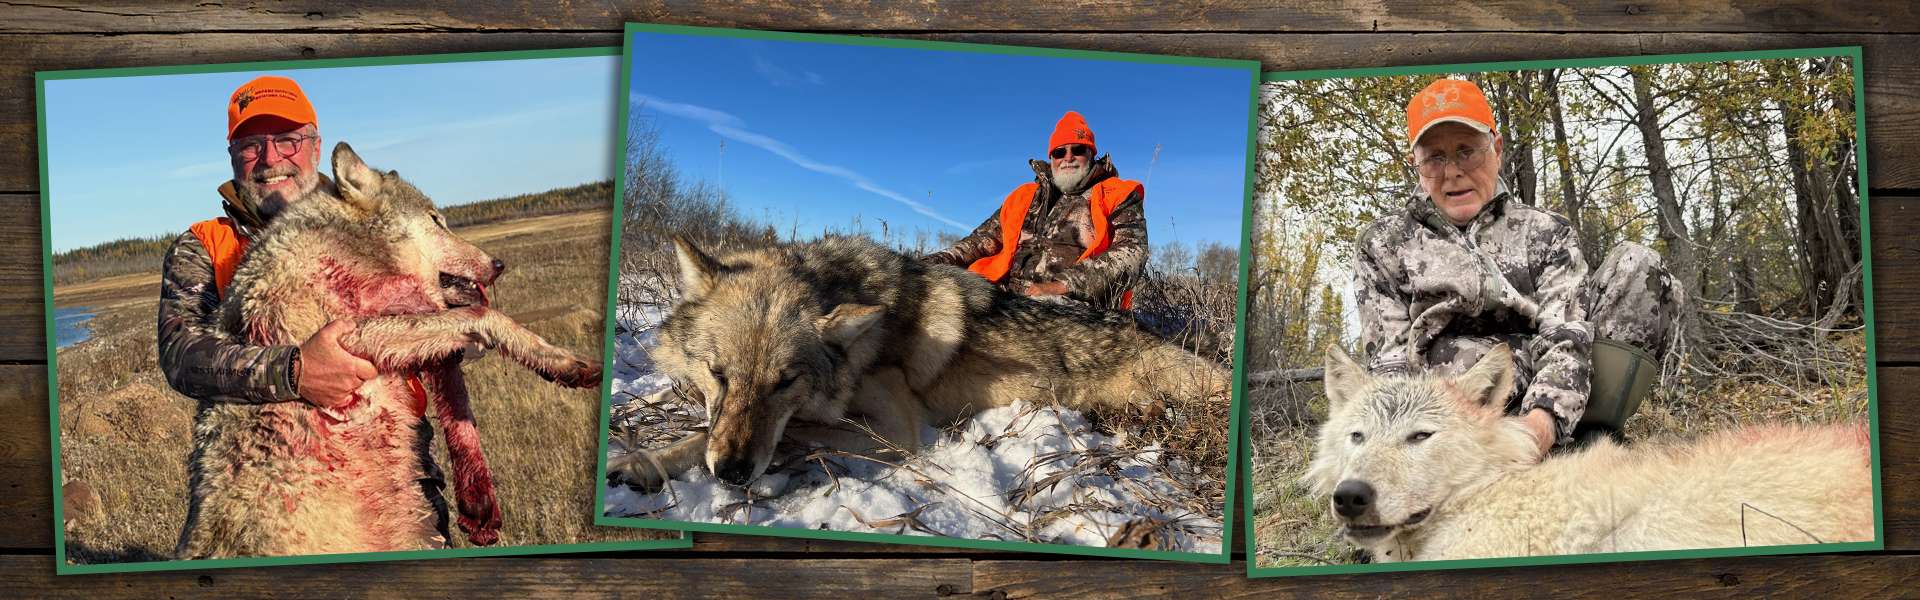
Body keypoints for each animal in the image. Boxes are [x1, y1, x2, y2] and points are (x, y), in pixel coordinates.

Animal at [176, 143, 602, 559]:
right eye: (435, 220)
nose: (498, 264)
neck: (351, 255)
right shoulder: (349, 339)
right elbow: (486, 314)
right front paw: (571, 363)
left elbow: (459, 400)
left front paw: (478, 501)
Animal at [606, 235, 1228, 491]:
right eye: (719, 375)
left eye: (785, 383)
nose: (733, 475)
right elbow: (702, 431)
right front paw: (642, 461)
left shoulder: (896, 431)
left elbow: (792, 434)